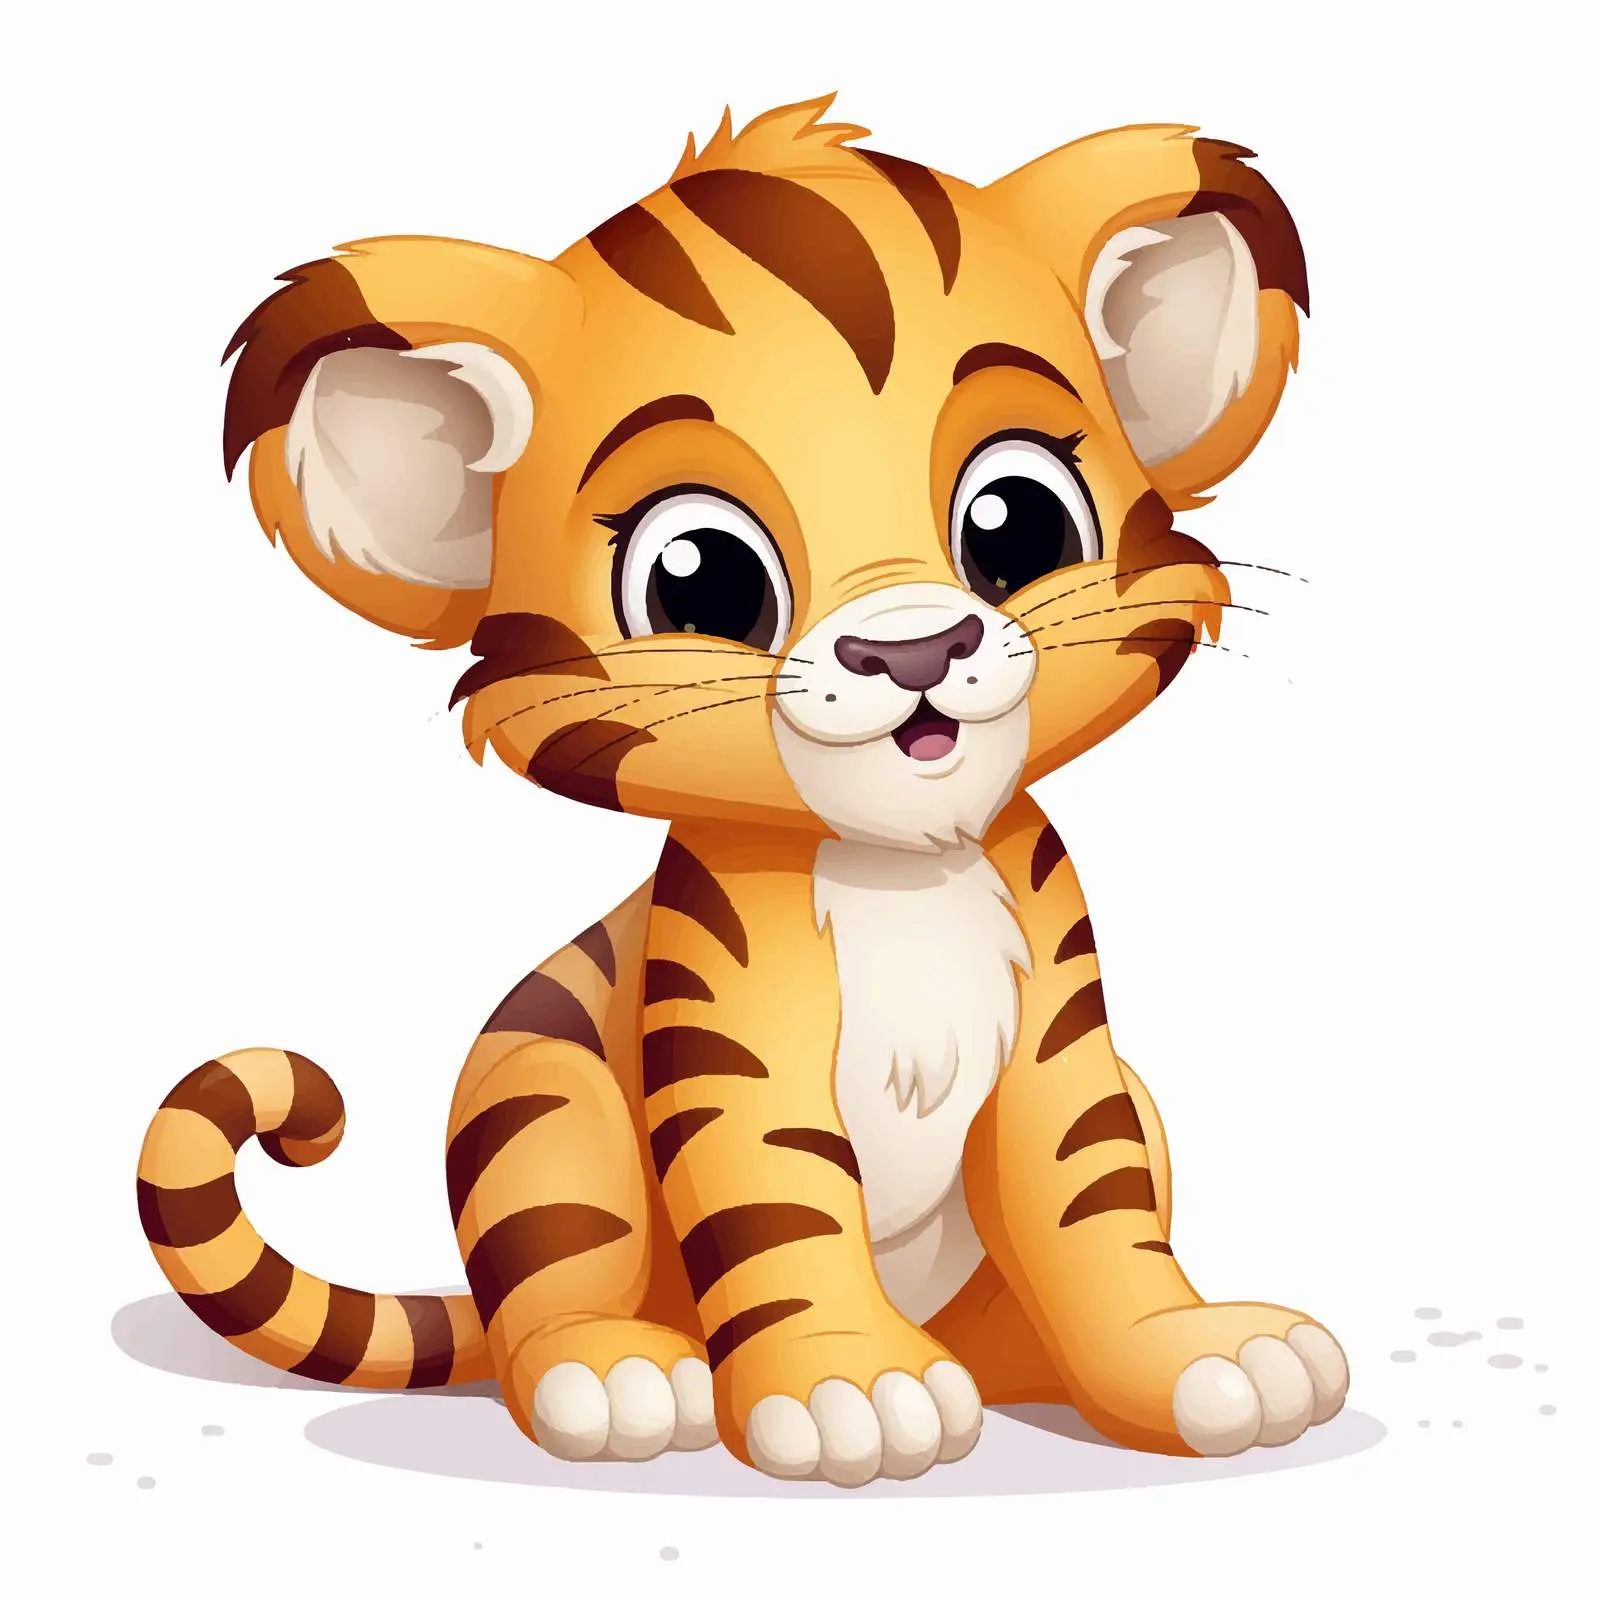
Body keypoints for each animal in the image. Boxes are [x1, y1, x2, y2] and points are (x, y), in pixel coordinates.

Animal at [136, 95, 1348, 1486]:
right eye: (703, 575)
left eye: (1016, 520)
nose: (914, 648)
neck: (902, 868)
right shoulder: (732, 1052)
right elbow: (782, 1205)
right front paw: (854, 1388)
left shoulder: (1065, 1041)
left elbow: (1091, 1198)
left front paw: (1196, 1354)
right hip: (541, 1103)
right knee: (548, 1285)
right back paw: (615, 1374)